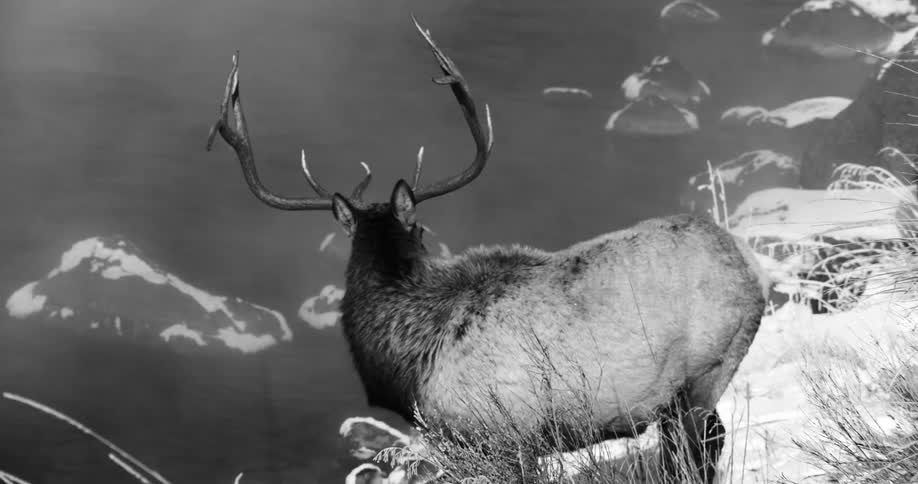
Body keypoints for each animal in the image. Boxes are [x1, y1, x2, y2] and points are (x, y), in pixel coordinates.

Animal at [205, 17, 770, 483]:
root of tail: (752, 266)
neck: (409, 363)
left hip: (706, 369)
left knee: (701, 447)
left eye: (421, 228)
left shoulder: (503, 433)